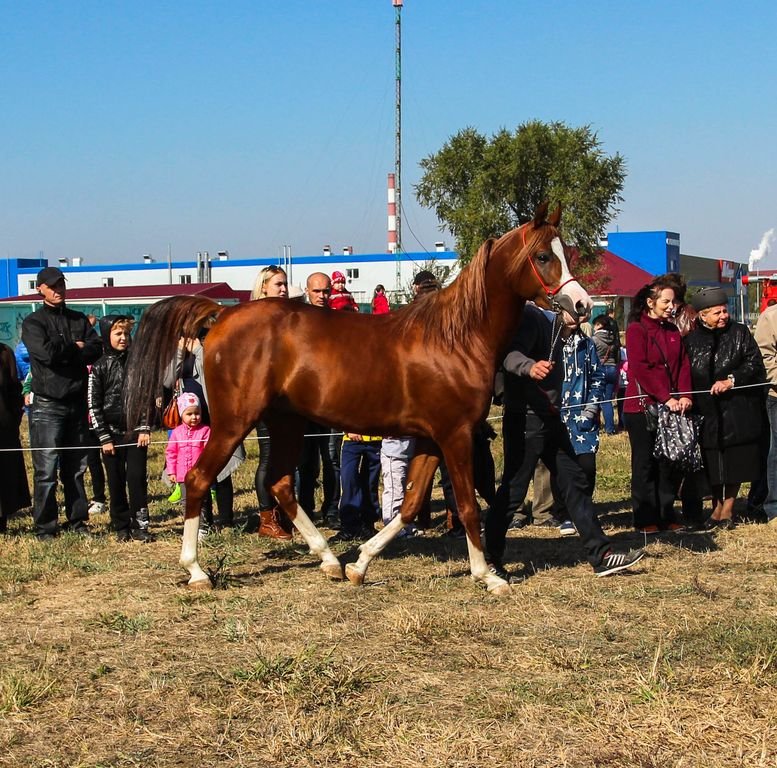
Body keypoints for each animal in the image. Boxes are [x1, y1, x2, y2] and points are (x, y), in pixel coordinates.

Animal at [124, 202, 592, 592]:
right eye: (544, 256)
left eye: (565, 252)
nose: (582, 305)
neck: (456, 338)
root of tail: (222, 315)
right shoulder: (456, 435)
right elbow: (466, 504)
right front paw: (488, 576)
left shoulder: (430, 438)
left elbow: (409, 505)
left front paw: (360, 564)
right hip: (233, 423)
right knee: (199, 479)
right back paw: (197, 571)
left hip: (286, 422)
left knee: (280, 483)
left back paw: (330, 560)